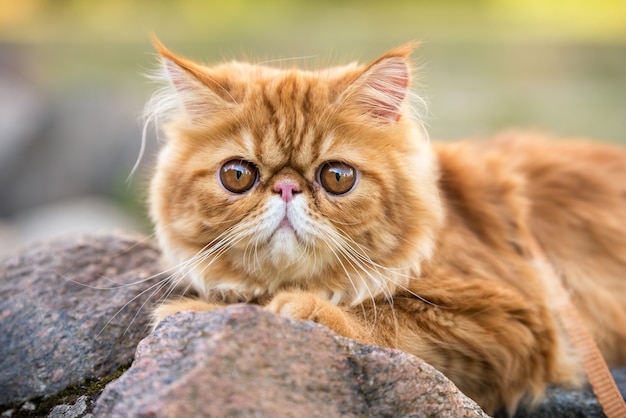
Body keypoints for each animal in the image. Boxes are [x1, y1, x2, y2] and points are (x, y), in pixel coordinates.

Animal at [146, 38, 624, 414]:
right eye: (237, 176)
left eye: (337, 177)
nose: (285, 188)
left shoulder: (509, 322)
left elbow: (382, 321)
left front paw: (297, 307)